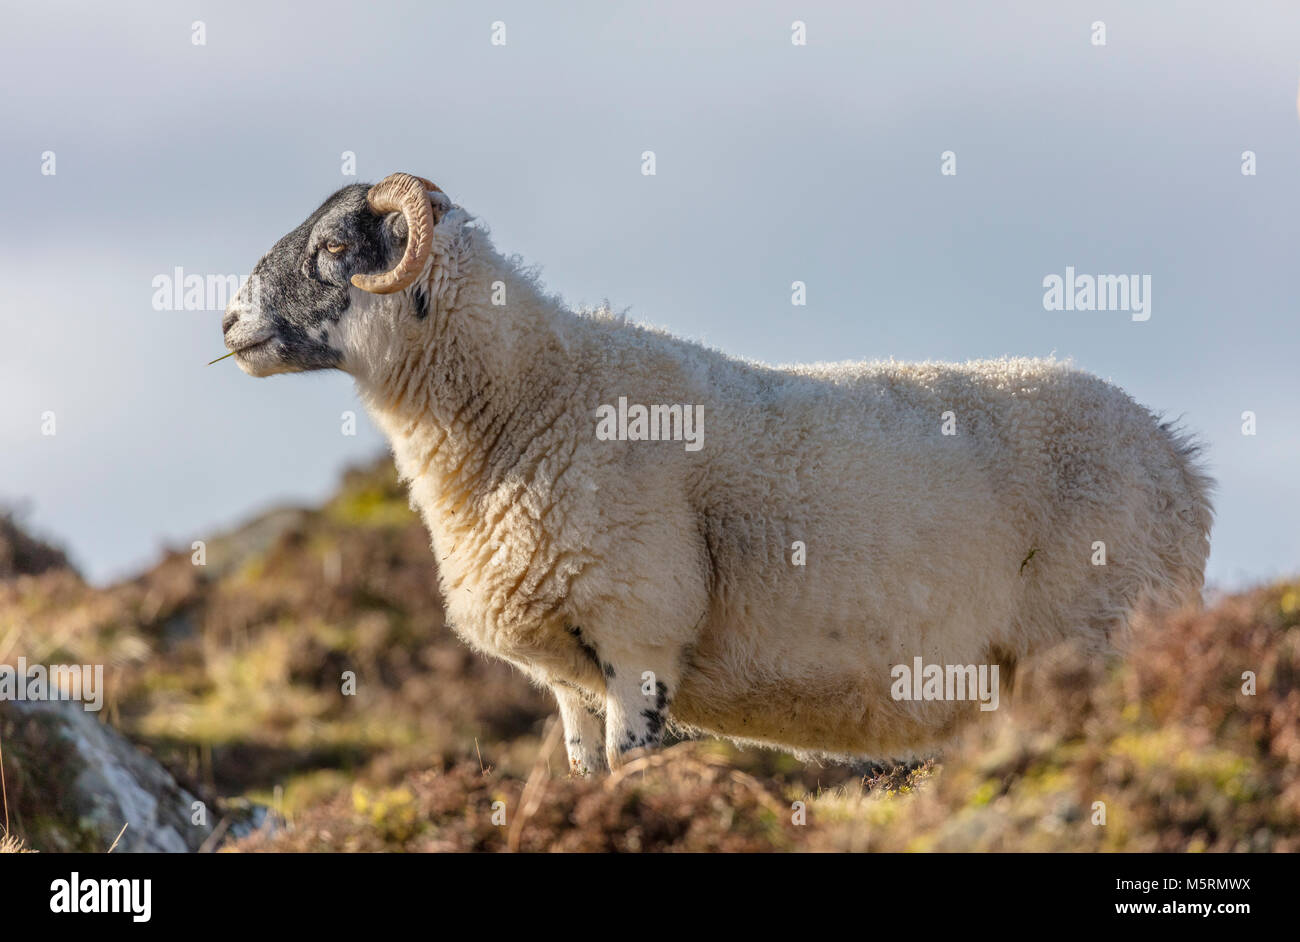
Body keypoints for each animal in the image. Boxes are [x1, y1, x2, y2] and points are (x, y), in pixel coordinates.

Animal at [220, 174, 1206, 769]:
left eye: (335, 248)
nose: (227, 323)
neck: (534, 394)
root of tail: (1181, 462)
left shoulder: (639, 632)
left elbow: (634, 770)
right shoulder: (567, 678)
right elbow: (584, 775)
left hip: (1101, 631)